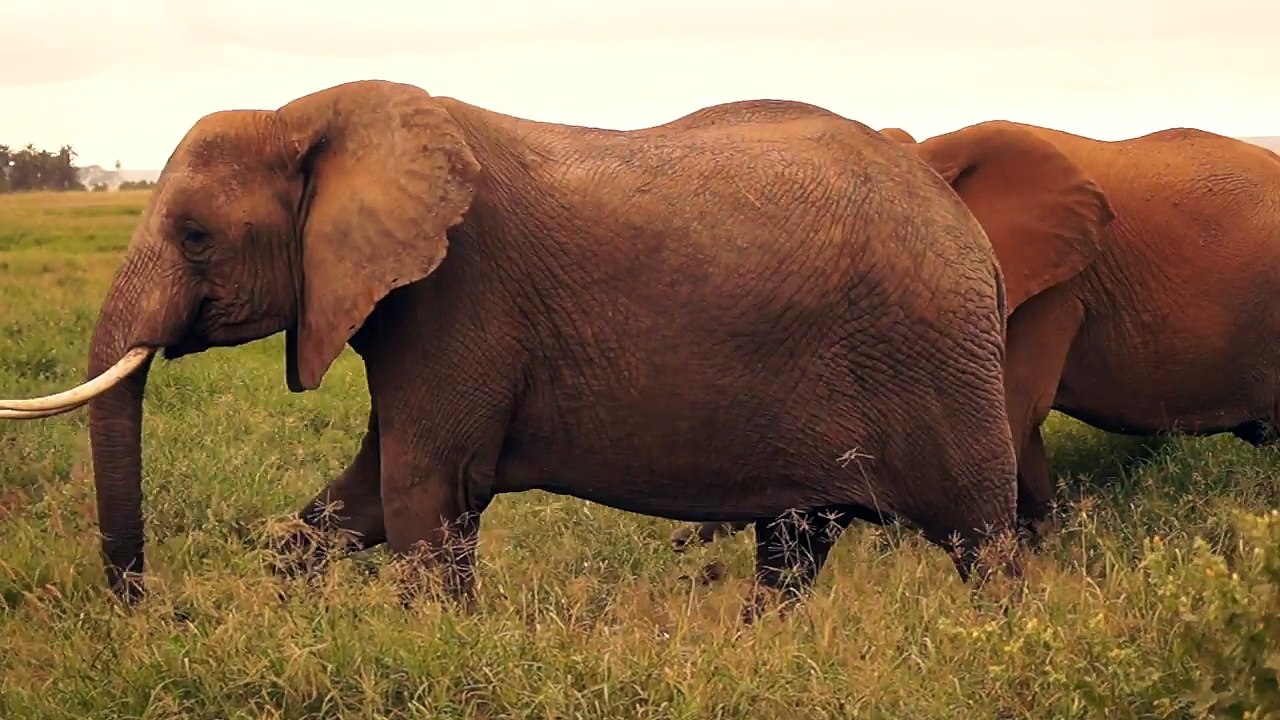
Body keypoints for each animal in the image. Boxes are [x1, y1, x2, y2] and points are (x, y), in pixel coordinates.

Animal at [0, 81, 1110, 616]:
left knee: (982, 546)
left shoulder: (458, 296)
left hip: (937, 361)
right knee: (793, 550)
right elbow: (359, 502)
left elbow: (422, 497)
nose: (146, 610)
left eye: (193, 237)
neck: (310, 114)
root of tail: (964, 227)